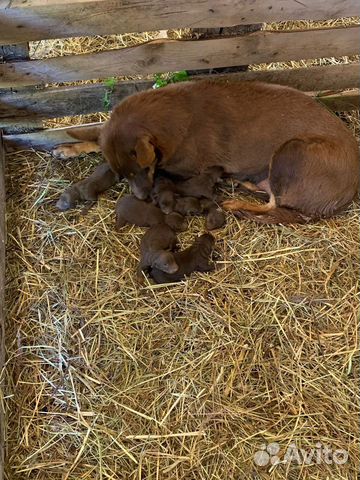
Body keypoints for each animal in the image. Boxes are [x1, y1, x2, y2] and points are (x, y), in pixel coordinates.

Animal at [54, 79, 360, 224]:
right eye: (126, 174)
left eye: (143, 169)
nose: (142, 198)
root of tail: (343, 197)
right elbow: (96, 140)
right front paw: (68, 147)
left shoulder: (179, 166)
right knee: (270, 196)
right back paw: (246, 185)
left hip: (291, 151)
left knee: (274, 204)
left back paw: (235, 203)